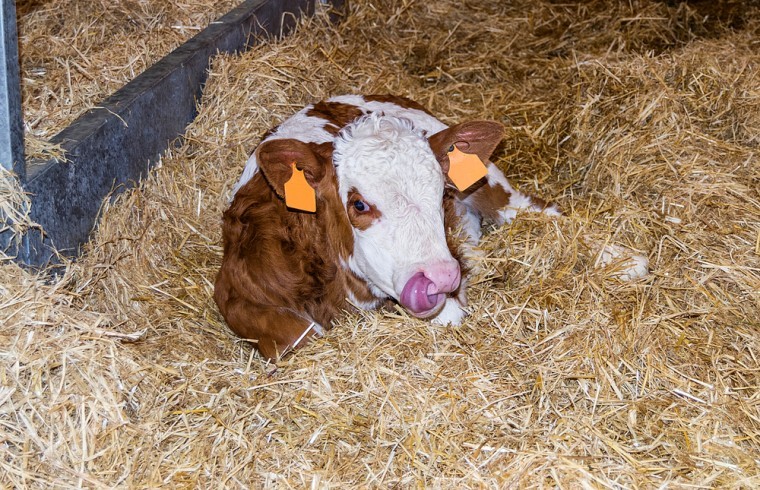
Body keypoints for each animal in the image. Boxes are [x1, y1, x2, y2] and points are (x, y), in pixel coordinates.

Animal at [214, 94, 564, 360]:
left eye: (442, 193)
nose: (443, 277)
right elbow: (296, 335)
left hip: (493, 185)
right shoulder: (234, 291)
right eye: (358, 205)